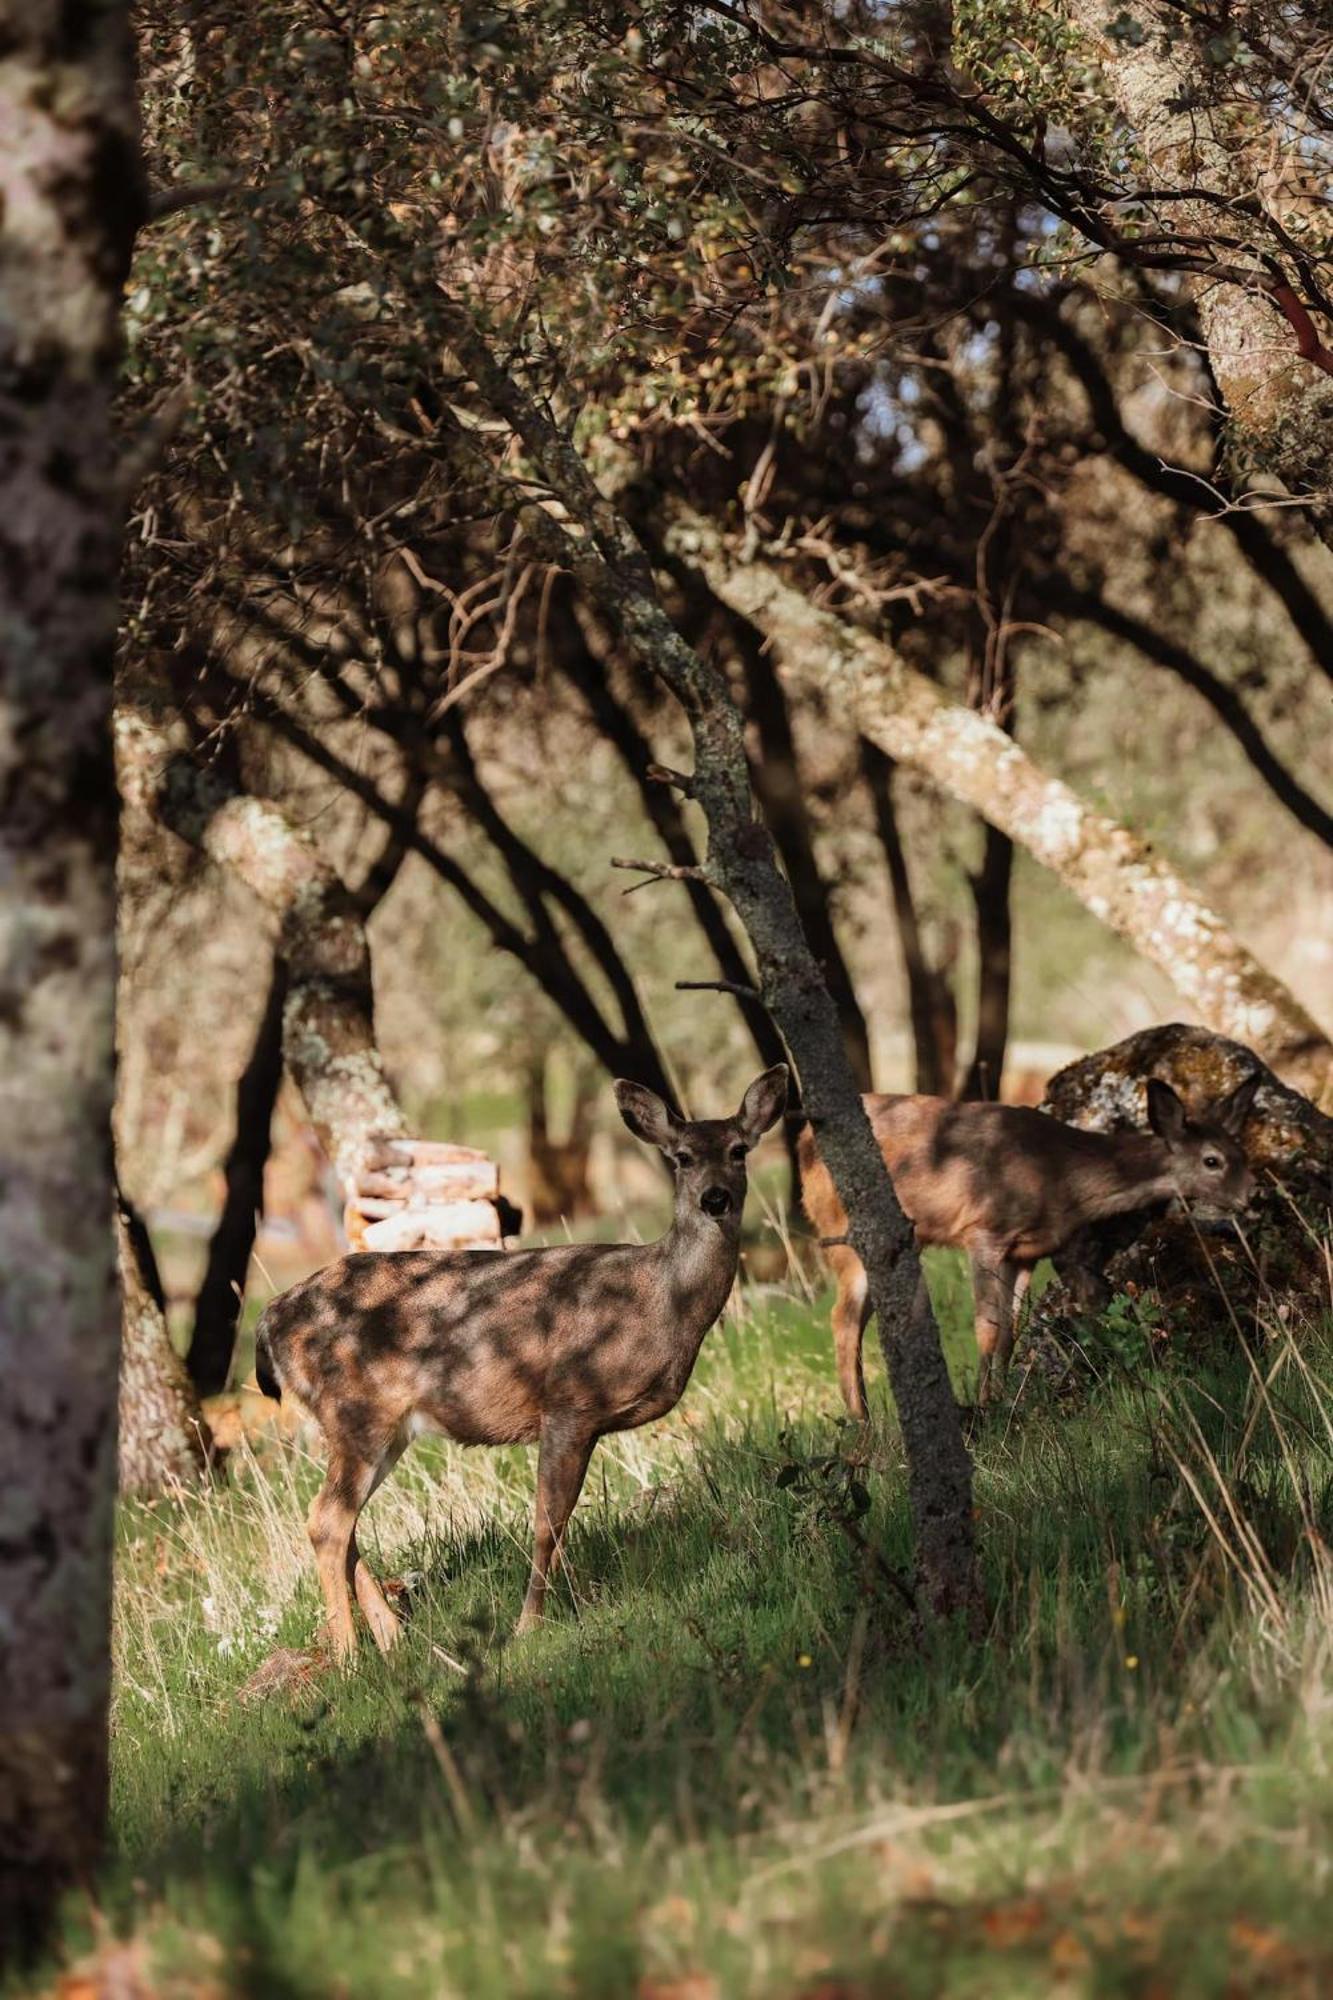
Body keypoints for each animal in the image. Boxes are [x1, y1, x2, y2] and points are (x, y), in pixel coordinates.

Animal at [254, 1064, 784, 1656]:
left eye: (738, 1150)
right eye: (684, 1156)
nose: (715, 1199)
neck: (662, 1302)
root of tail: (269, 1320)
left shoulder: (587, 1423)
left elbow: (562, 1521)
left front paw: (570, 1606)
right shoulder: (568, 1401)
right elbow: (546, 1523)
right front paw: (529, 1626)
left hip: (374, 1427)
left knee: (340, 1523)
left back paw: (393, 1638)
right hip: (355, 1411)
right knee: (326, 1520)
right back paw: (350, 1654)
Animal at [800, 1072, 1256, 1416]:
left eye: (1242, 1152)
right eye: (1212, 1160)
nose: (1249, 1195)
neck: (1060, 1174)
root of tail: (804, 1140)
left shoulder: (1026, 1253)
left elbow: (1010, 1333)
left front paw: (1004, 1402)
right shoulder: (984, 1229)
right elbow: (986, 1327)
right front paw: (985, 1407)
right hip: (844, 1229)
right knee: (843, 1319)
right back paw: (862, 1424)